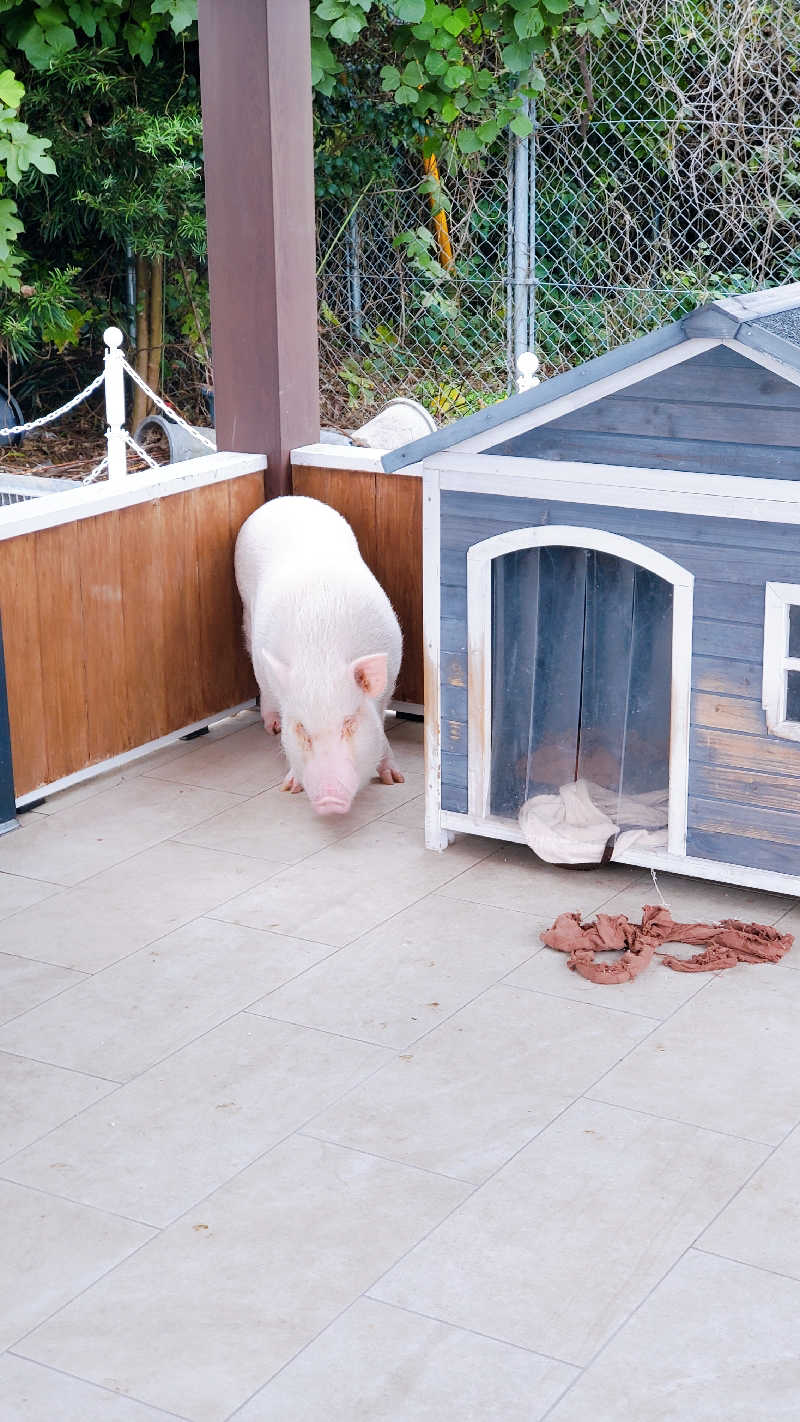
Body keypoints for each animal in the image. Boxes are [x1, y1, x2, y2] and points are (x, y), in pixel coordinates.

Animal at [234, 497, 403, 813]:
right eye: (302, 729)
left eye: (349, 723)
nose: (329, 799)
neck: (320, 658)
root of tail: (282, 500)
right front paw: (290, 787)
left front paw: (395, 780)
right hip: (247, 613)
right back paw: (272, 726)